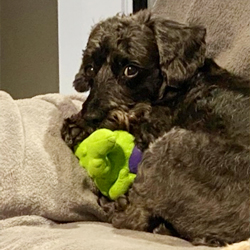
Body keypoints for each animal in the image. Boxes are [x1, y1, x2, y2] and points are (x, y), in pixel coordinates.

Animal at [61, 9, 250, 246]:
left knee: (134, 219)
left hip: (170, 147)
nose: (91, 116)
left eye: (130, 70)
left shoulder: (154, 127)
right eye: (91, 68)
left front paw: (76, 126)